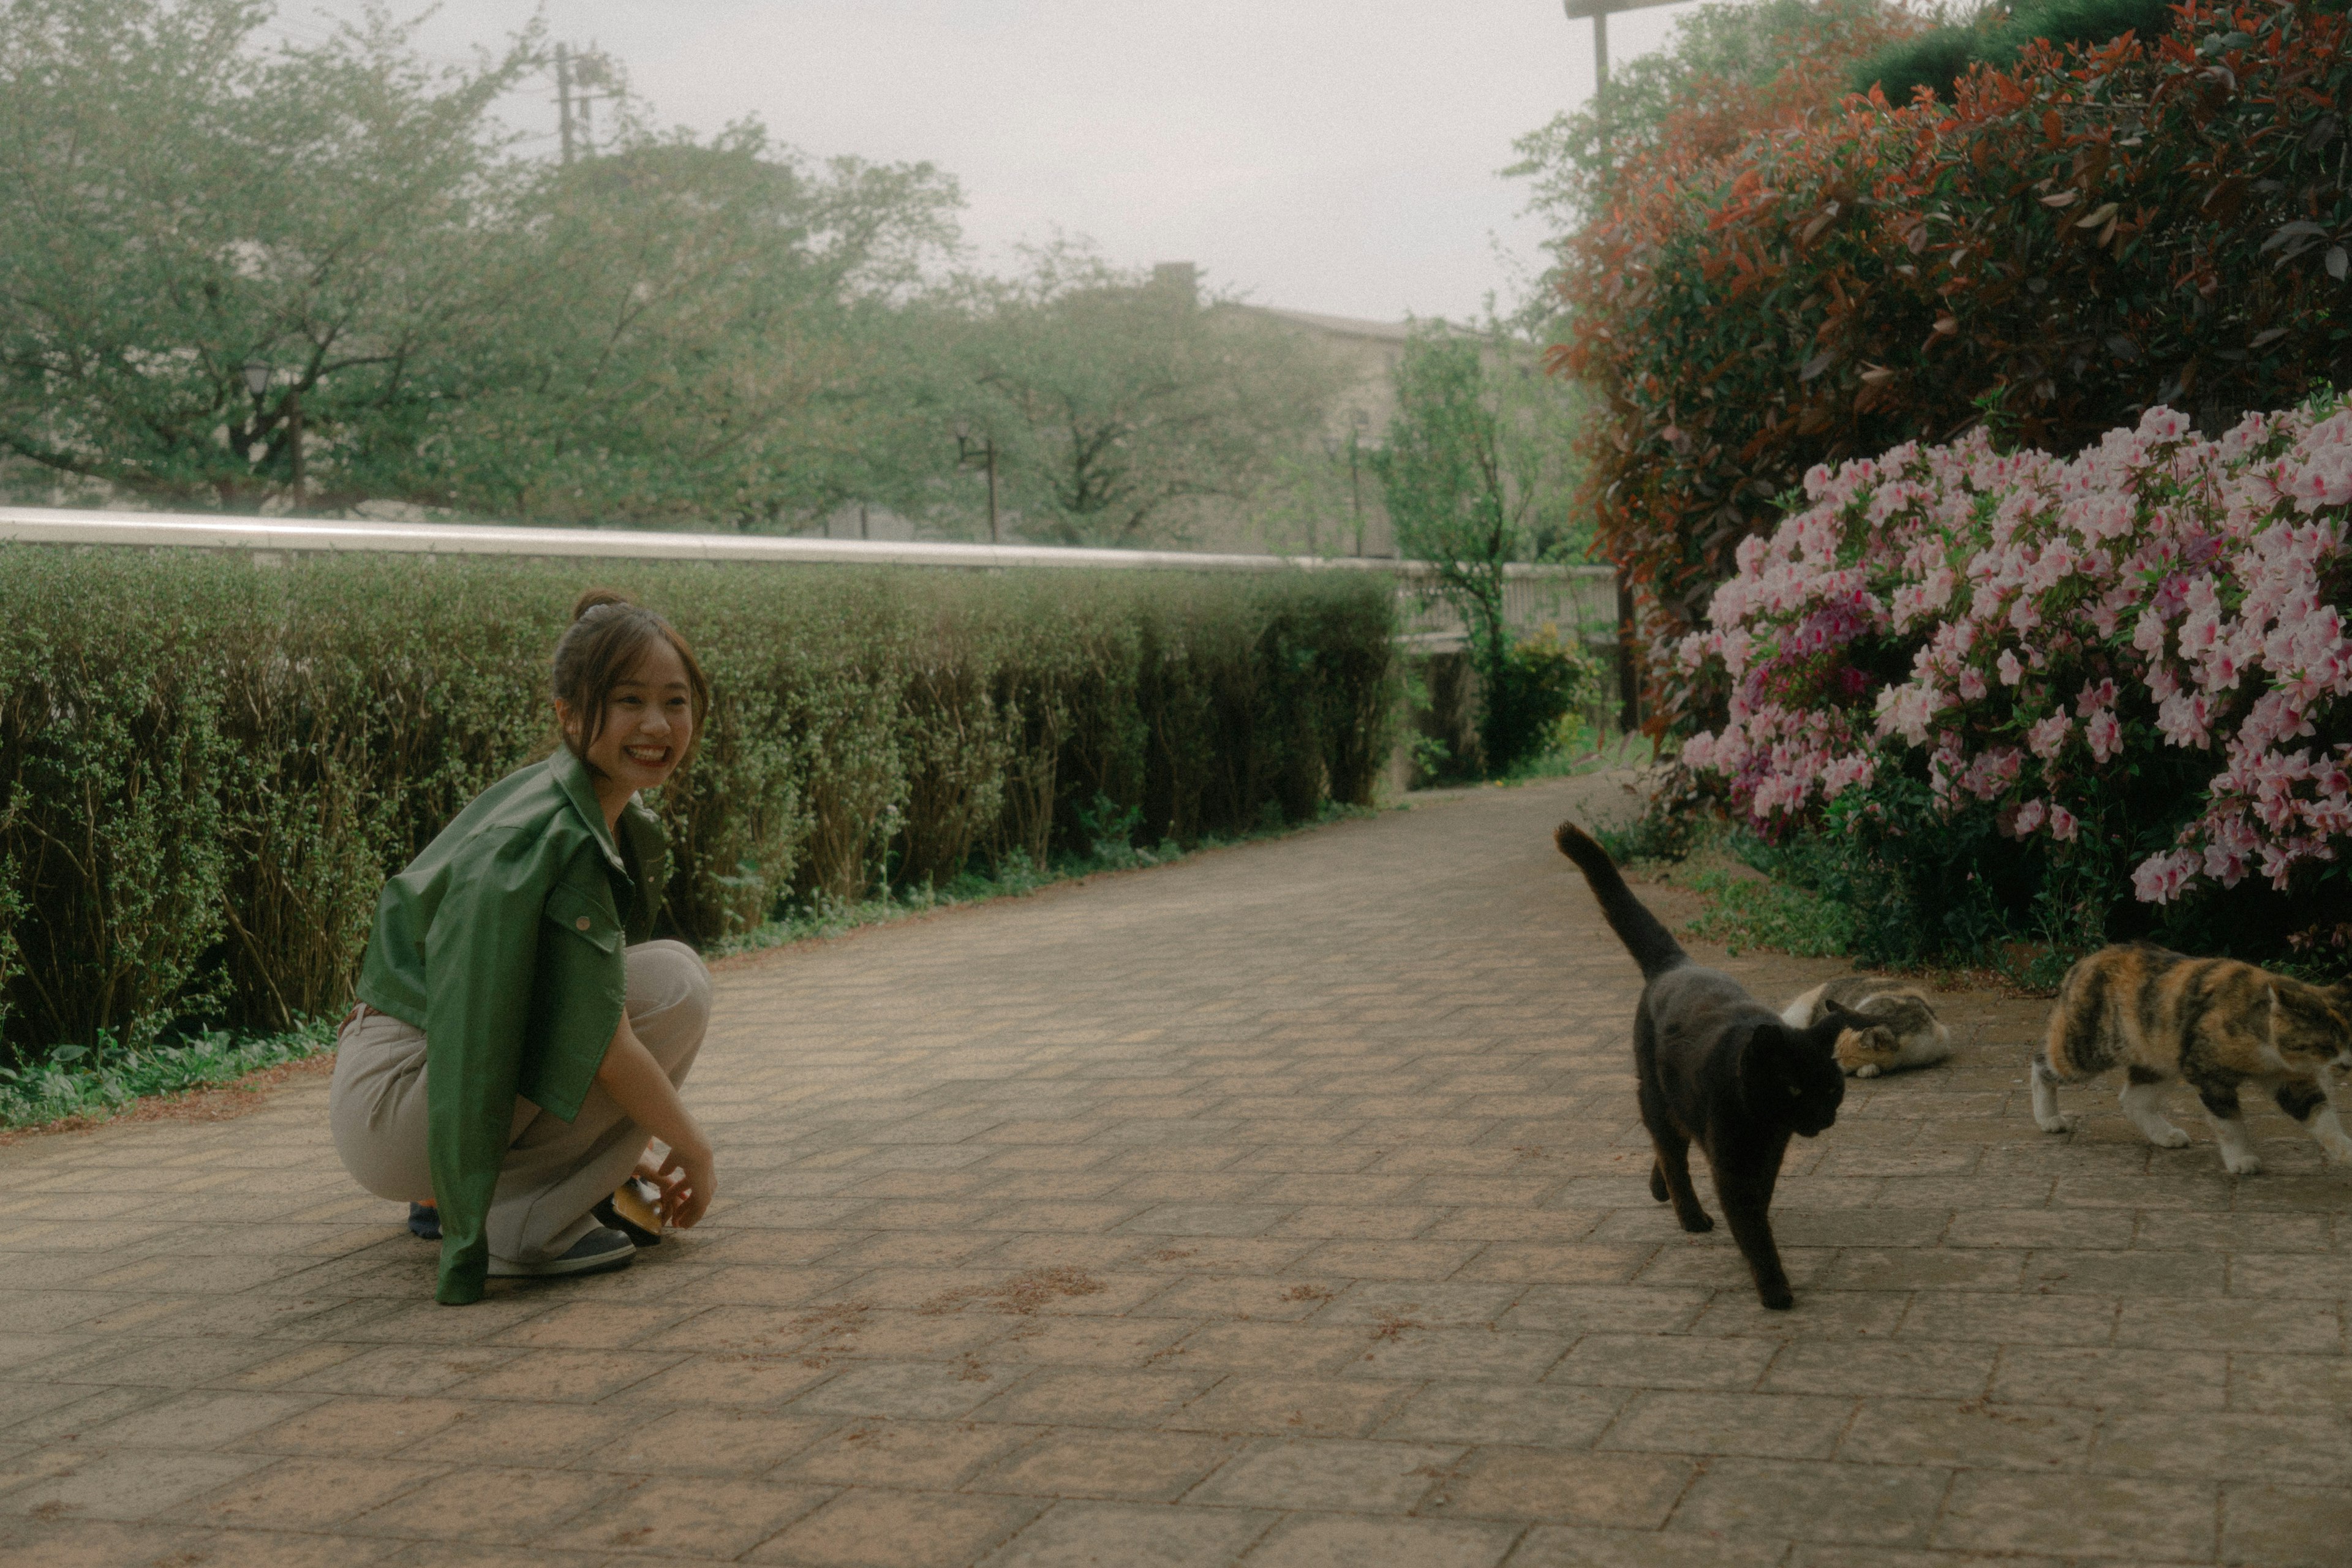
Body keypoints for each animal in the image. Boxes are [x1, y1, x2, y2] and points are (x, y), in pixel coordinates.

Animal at [1552, 823, 1863, 1316]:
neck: (1765, 1124)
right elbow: (1752, 1225)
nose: (1825, 1117)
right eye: (1795, 1089)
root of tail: (1676, 962)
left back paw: (1660, 1189)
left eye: (1833, 1090)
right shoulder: (1734, 1165)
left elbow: (1757, 1209)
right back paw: (1691, 1215)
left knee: (1668, 1144)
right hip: (1653, 1092)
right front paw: (1774, 1288)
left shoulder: (1767, 1158)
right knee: (1672, 1152)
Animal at [2022, 944, 2352, 1175]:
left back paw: (2165, 1135)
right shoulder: (2208, 1074)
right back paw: (2048, 1118)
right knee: (2042, 1063)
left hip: (2159, 1058)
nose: (2349, 1063)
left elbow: (2321, 1116)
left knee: (2133, 1100)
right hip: (2085, 1051)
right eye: (2327, 1044)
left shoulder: (2290, 1080)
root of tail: (2083, 963)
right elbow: (2229, 1123)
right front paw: (2242, 1159)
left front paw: (2347, 1151)